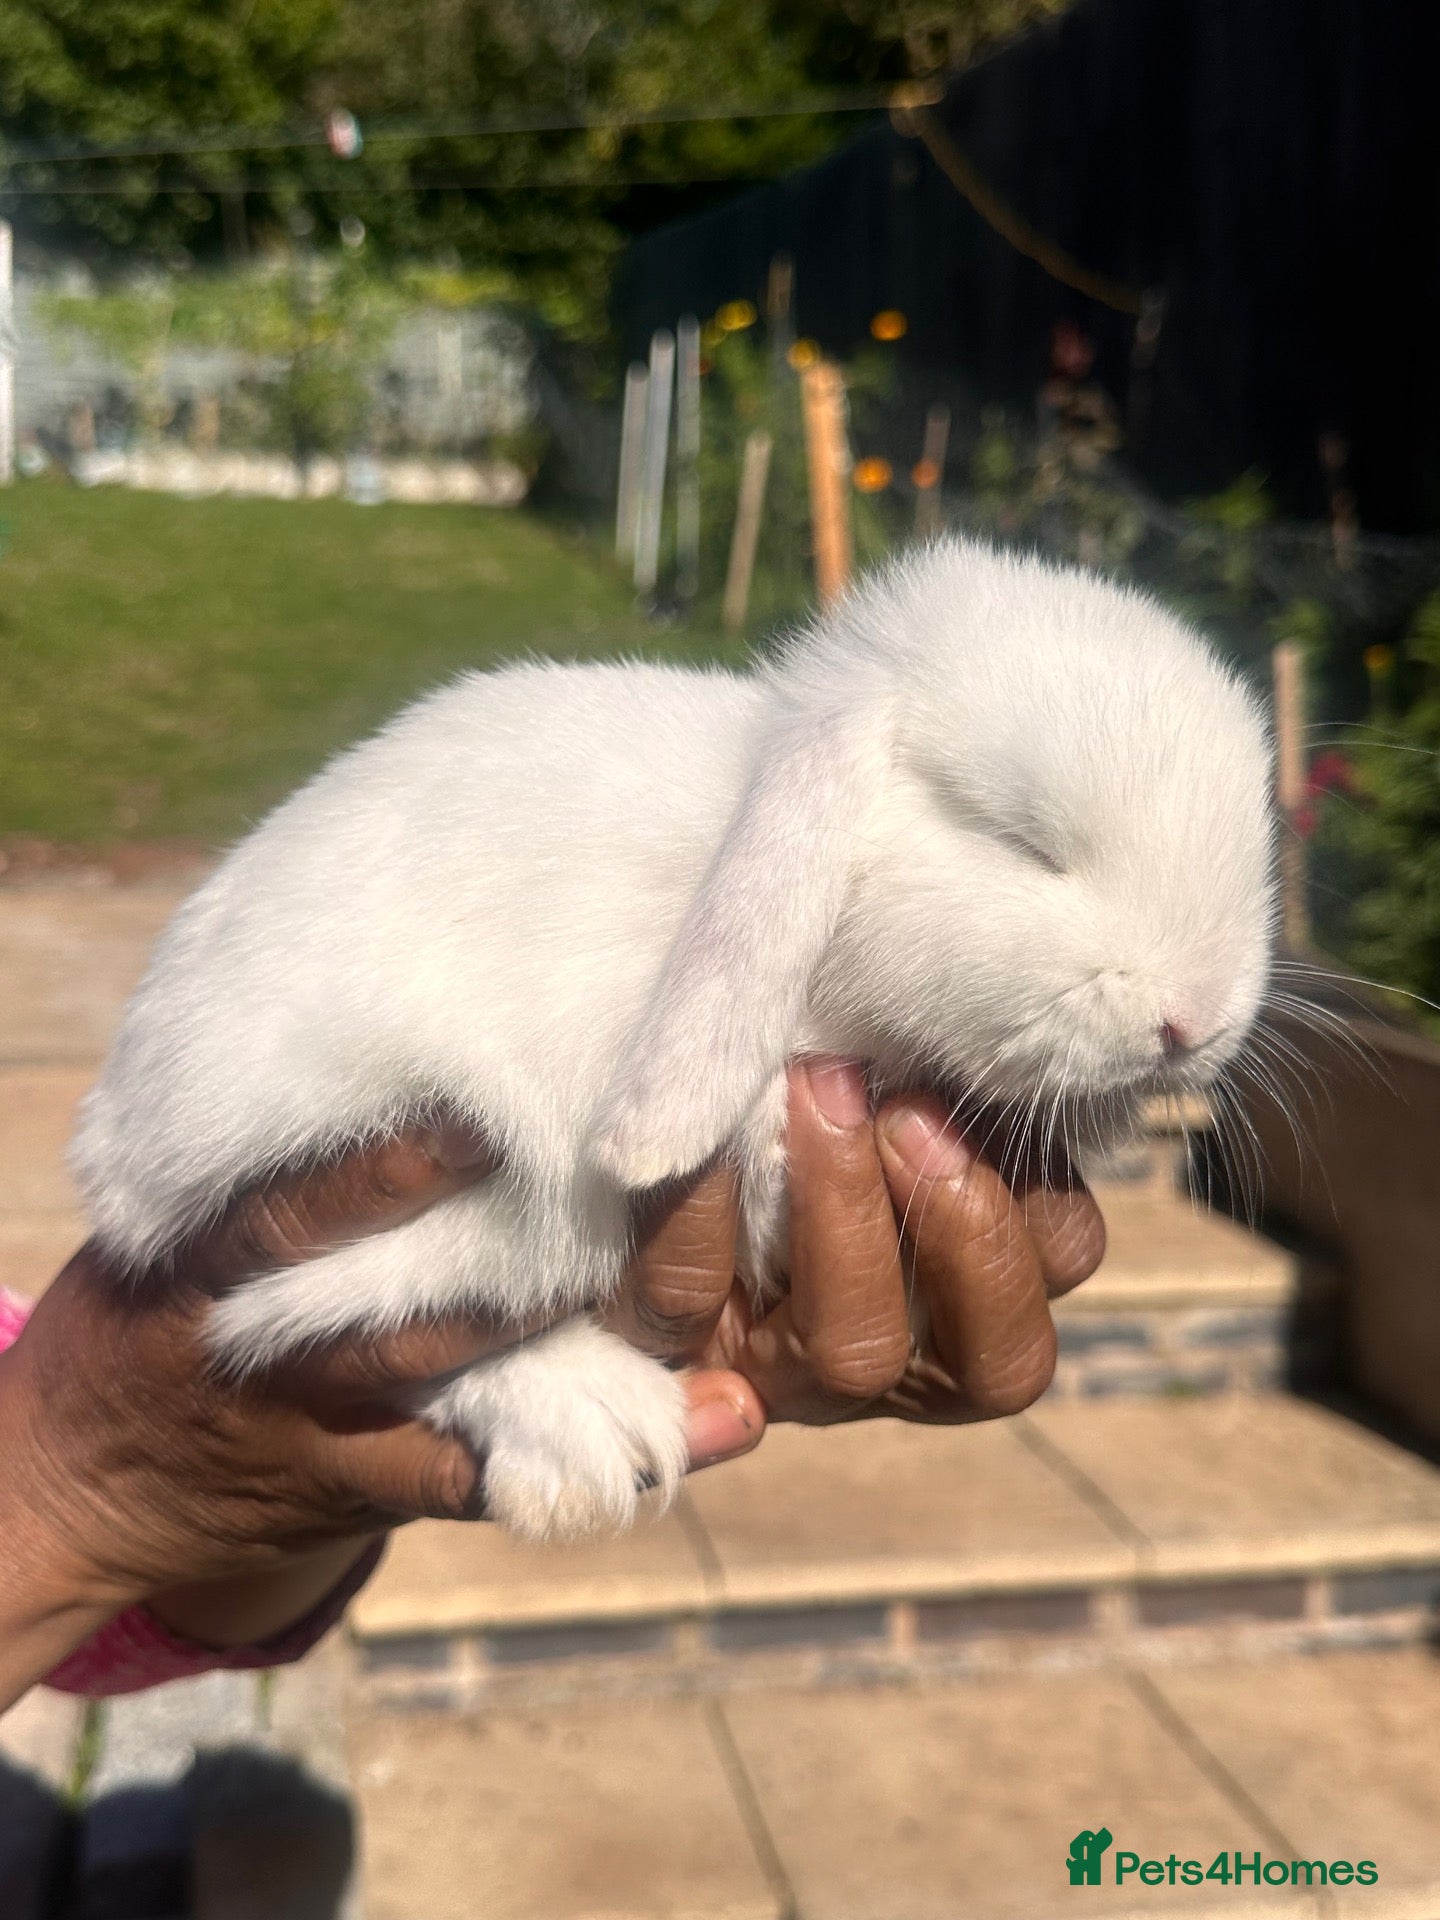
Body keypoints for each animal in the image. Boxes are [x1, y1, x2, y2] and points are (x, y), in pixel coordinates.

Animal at [71, 537, 1276, 1542]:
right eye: (1022, 842)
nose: (1192, 1019)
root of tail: (117, 1156)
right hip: (451, 1186)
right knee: (327, 1333)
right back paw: (593, 1428)